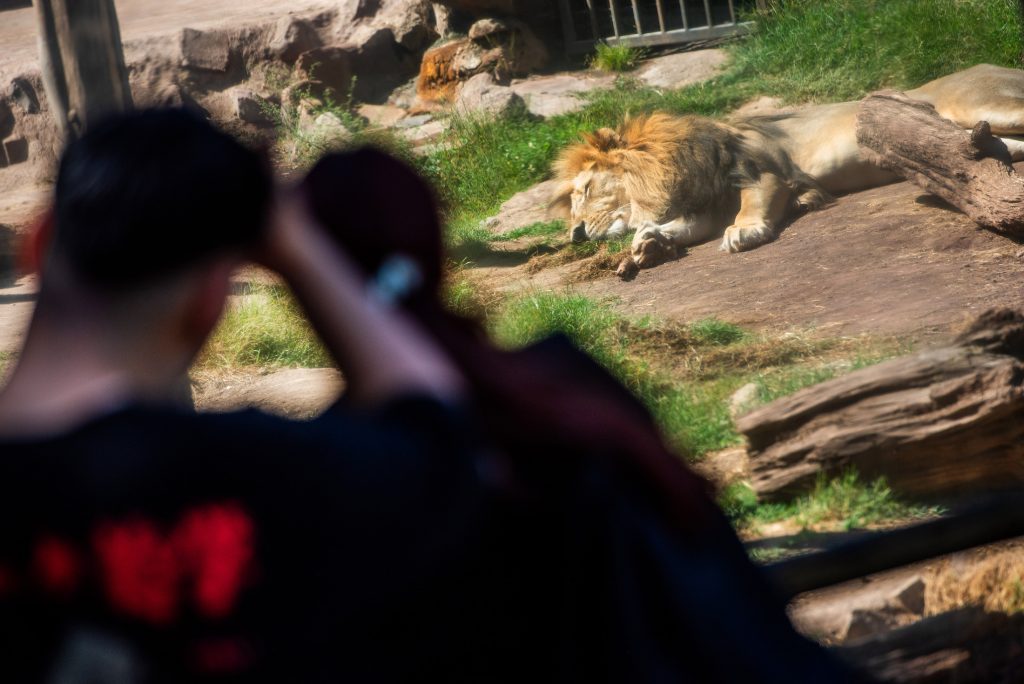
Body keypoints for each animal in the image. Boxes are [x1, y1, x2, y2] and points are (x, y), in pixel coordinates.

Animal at [550, 64, 1024, 276]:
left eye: (585, 189)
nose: (575, 235)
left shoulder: (764, 172)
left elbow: (750, 207)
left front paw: (744, 233)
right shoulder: (706, 203)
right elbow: (679, 228)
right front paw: (649, 245)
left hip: (977, 106)